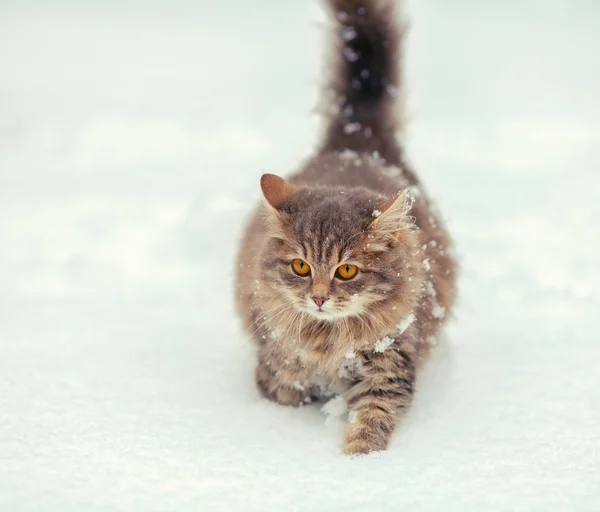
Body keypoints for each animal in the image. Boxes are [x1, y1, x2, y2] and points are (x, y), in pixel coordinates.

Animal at [237, 0, 458, 456]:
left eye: (347, 271)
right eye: (301, 267)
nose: (319, 298)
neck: (326, 339)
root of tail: (355, 144)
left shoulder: (388, 364)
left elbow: (371, 420)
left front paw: (356, 463)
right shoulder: (277, 362)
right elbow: (282, 392)